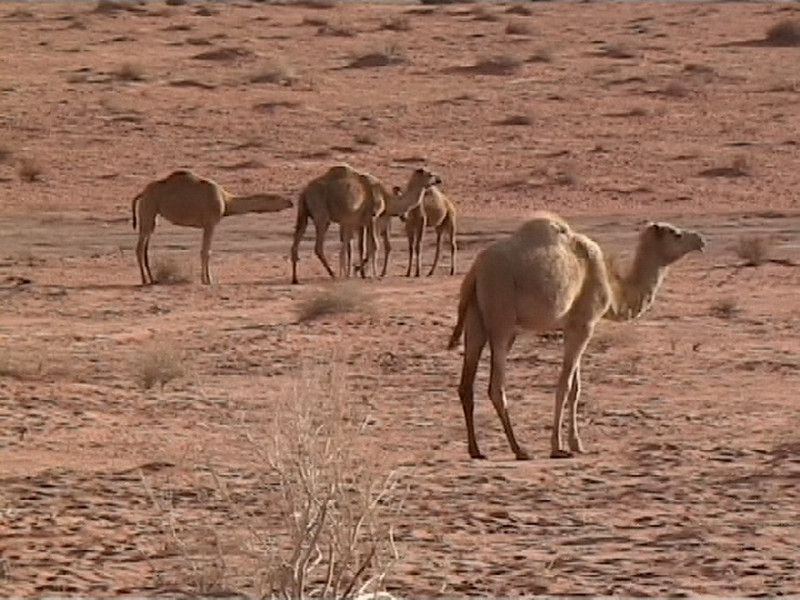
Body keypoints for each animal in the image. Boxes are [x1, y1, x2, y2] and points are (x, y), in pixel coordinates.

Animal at [131, 166, 294, 284]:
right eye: (276, 198)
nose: (291, 202)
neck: (226, 200)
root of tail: (142, 193)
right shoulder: (210, 223)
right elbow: (206, 252)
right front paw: (208, 280)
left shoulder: (207, 224)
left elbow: (205, 251)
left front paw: (205, 279)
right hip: (148, 207)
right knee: (139, 247)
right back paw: (144, 280)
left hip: (152, 215)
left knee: (145, 245)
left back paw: (152, 279)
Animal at [290, 164, 440, 286]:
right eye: (430, 174)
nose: (439, 180)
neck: (385, 197)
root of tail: (305, 191)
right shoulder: (372, 217)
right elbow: (374, 245)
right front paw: (374, 275)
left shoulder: (360, 221)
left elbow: (362, 247)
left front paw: (361, 273)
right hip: (321, 213)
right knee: (318, 247)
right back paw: (332, 274)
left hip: (303, 213)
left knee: (296, 242)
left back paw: (295, 279)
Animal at [446, 213, 704, 462]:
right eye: (676, 234)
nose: (700, 240)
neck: (611, 287)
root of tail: (476, 271)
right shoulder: (584, 325)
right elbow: (565, 385)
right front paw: (557, 448)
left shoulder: (572, 326)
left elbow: (576, 389)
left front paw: (577, 444)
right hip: (502, 316)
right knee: (496, 386)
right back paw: (519, 450)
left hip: (476, 318)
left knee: (466, 384)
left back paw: (476, 450)